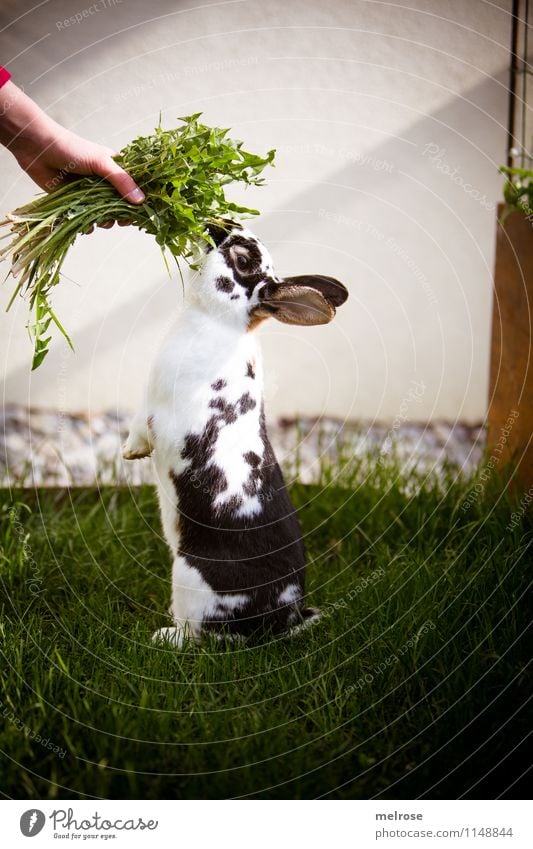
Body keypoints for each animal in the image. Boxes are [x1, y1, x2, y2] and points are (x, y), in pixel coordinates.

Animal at [122, 219, 348, 644]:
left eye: (242, 261)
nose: (214, 225)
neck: (213, 320)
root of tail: (276, 621)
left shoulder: (156, 410)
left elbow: (140, 426)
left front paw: (130, 452)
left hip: (189, 579)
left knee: (202, 638)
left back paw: (164, 636)